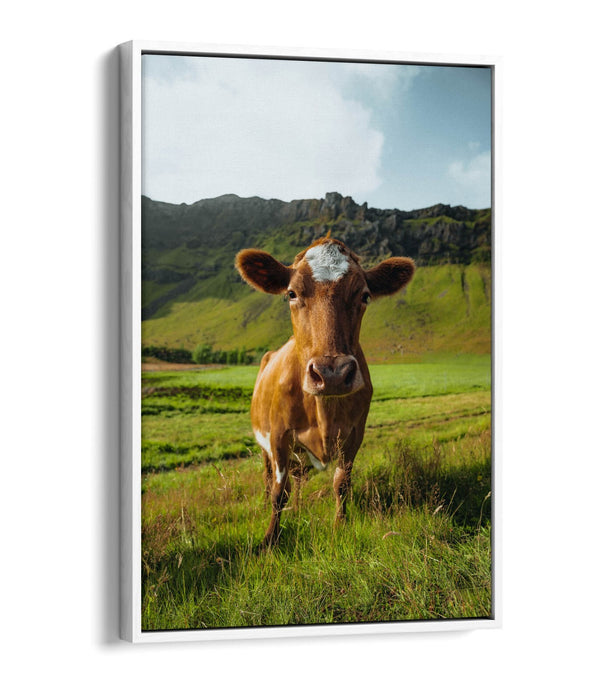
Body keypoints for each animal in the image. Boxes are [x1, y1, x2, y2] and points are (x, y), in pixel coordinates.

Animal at [235, 237, 415, 546]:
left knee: (297, 479)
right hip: (264, 444)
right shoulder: (279, 436)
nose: (332, 374)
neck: (324, 412)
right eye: (291, 293)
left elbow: (341, 483)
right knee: (269, 477)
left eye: (365, 295)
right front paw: (270, 539)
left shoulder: (354, 435)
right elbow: (278, 492)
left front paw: (339, 526)